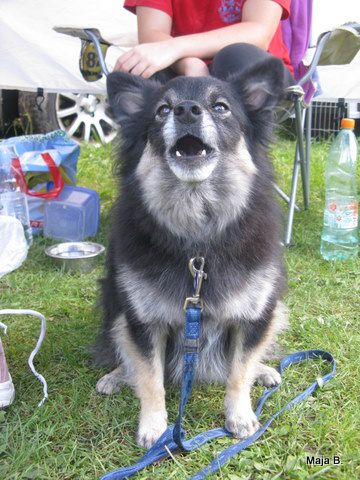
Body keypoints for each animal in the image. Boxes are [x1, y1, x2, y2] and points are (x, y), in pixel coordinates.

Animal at [94, 57, 288, 450]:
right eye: (162, 110)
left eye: (221, 107)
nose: (186, 110)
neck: (199, 241)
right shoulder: (144, 319)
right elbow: (149, 375)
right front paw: (154, 426)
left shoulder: (255, 313)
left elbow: (240, 369)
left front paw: (240, 415)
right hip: (113, 301)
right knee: (122, 345)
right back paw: (117, 375)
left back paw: (265, 371)